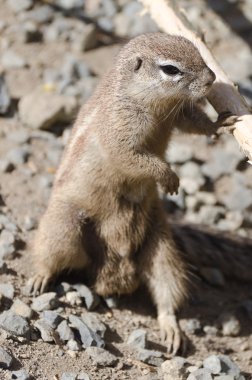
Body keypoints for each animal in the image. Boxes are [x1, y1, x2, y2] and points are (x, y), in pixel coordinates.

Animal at [28, 33, 237, 356]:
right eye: (170, 69)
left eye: (198, 51)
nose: (212, 79)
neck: (153, 103)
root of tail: (111, 269)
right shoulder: (120, 130)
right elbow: (132, 158)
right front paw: (168, 176)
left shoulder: (179, 111)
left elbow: (195, 123)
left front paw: (220, 123)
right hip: (64, 225)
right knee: (50, 253)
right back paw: (40, 276)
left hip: (160, 243)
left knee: (167, 288)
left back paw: (170, 328)